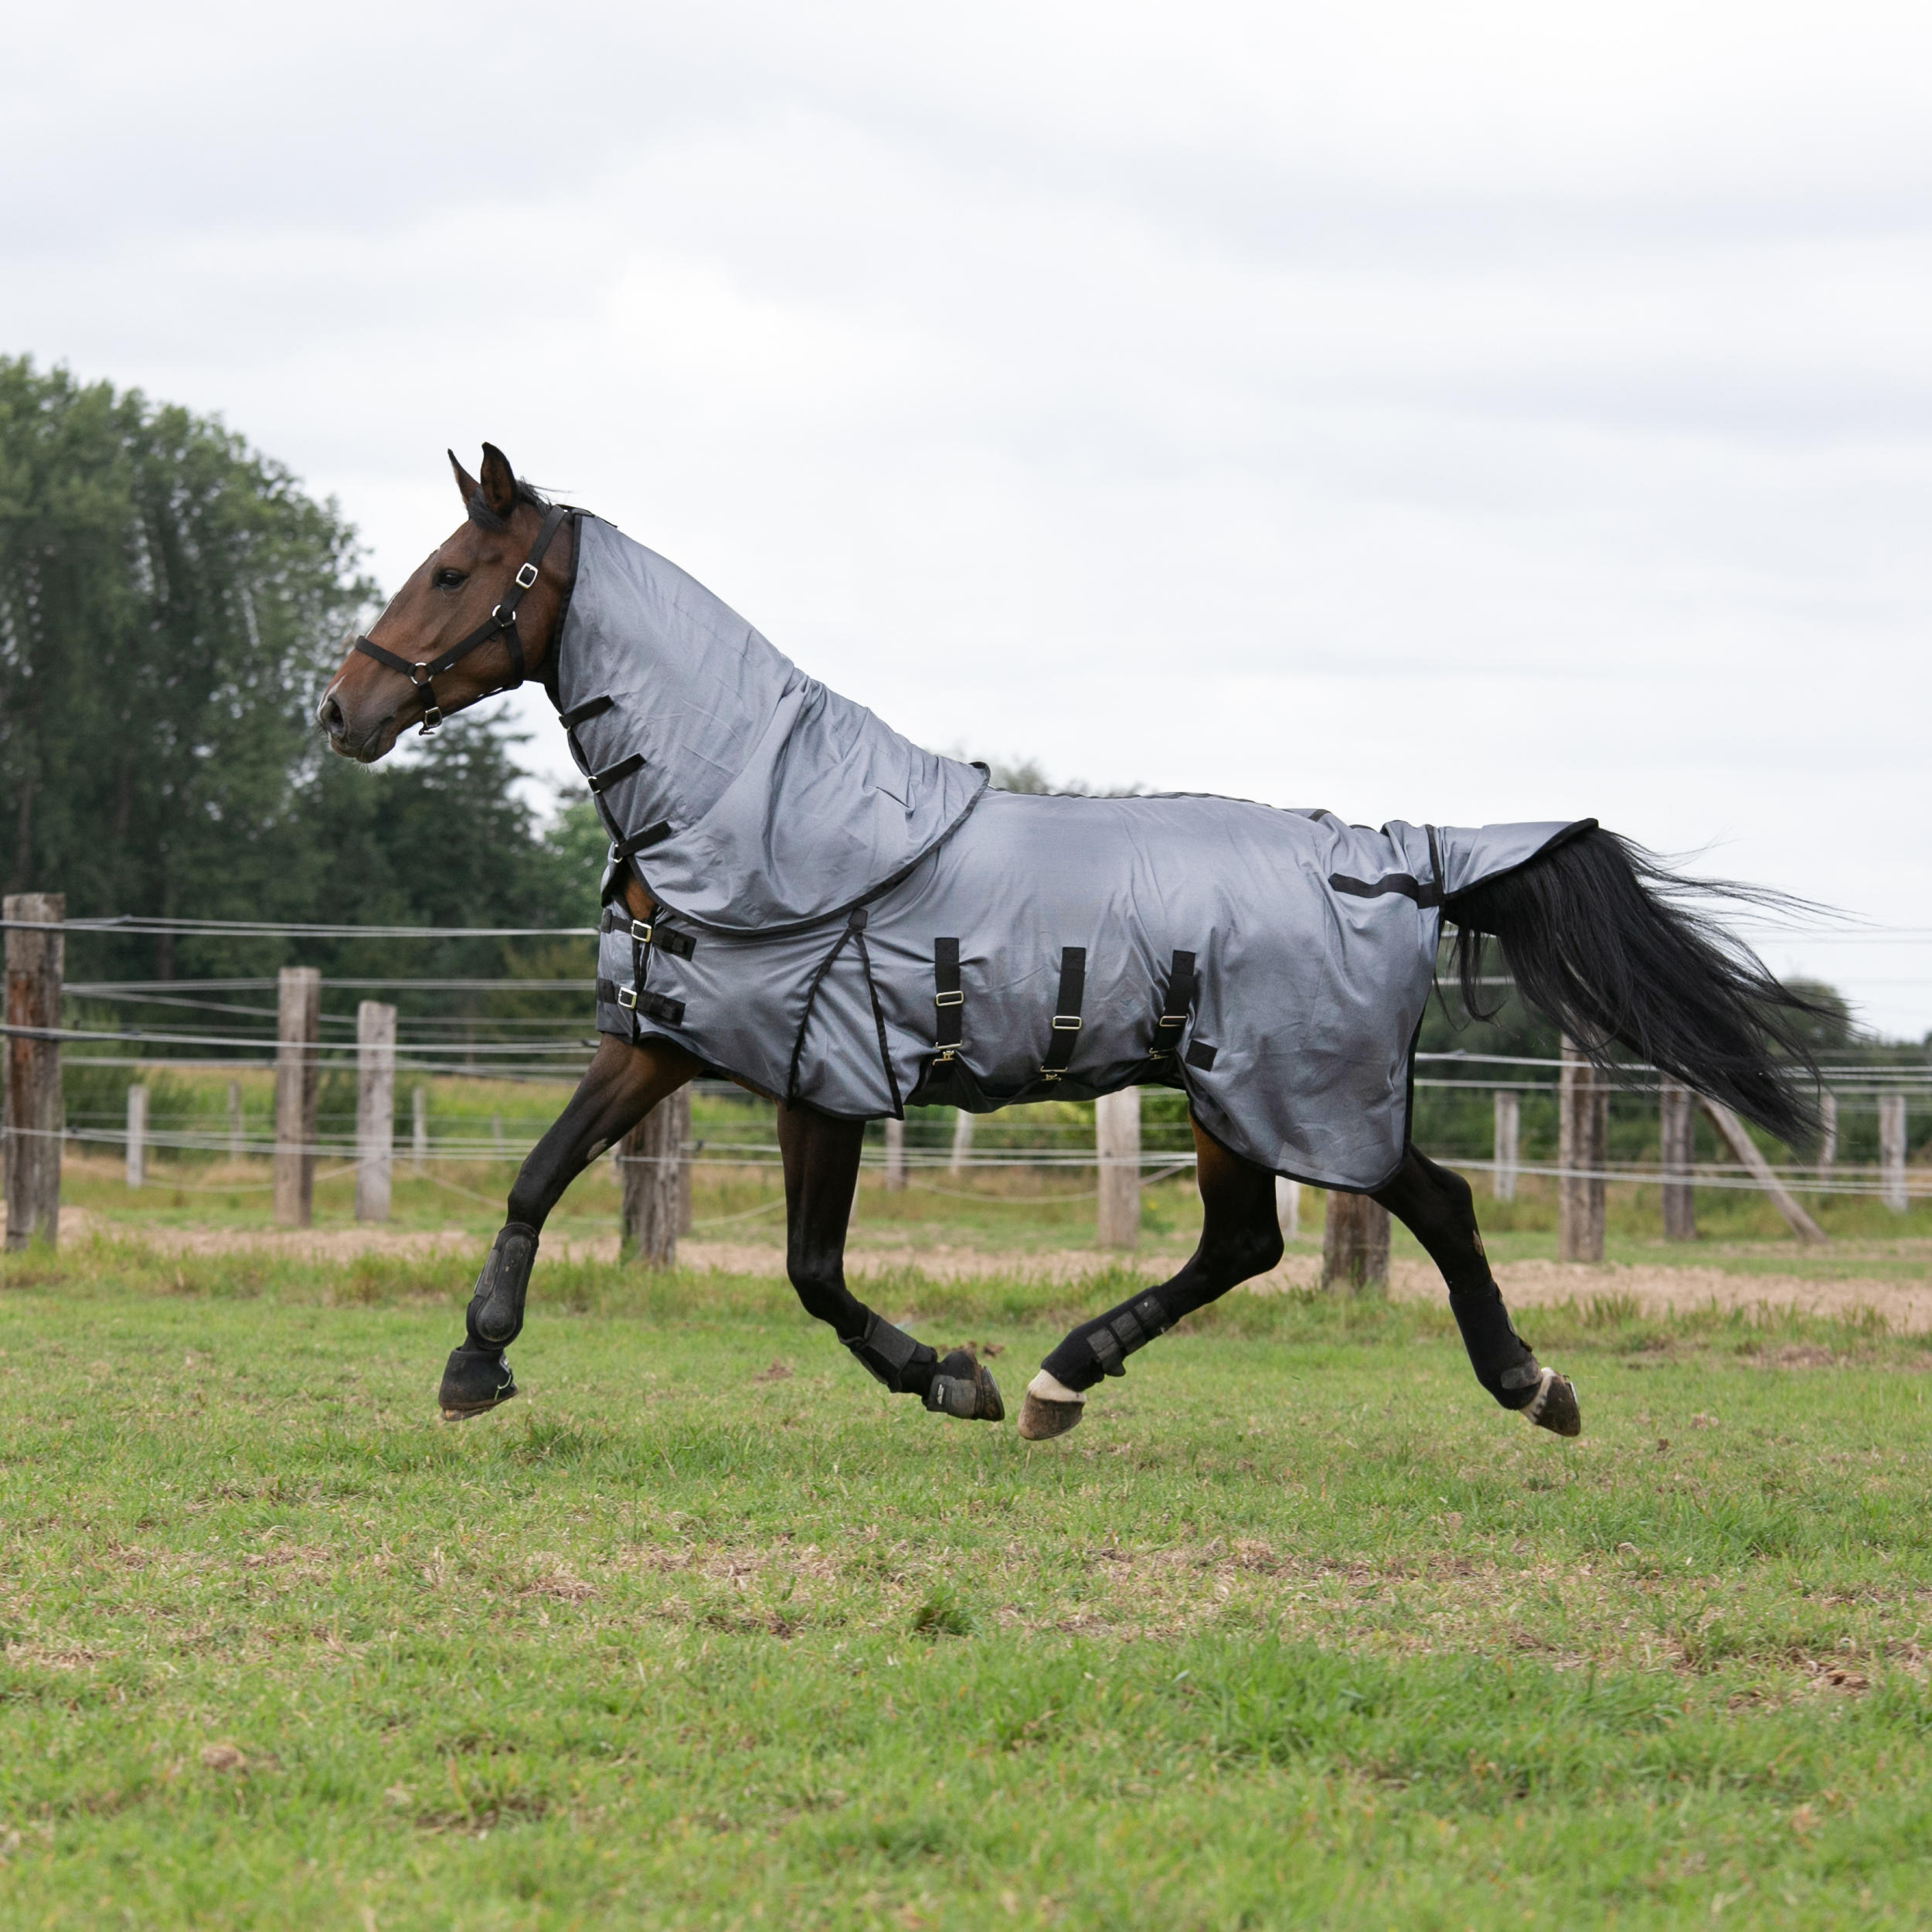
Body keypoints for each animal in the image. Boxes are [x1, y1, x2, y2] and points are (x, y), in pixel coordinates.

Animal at [321, 452, 1824, 1445]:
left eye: (453, 572)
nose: (341, 711)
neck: (757, 810)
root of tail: (1401, 851)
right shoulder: (666, 1042)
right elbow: (537, 1176)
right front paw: (475, 1365)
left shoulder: (824, 1077)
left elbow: (813, 1272)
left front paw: (949, 1376)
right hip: (1228, 1099)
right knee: (1244, 1245)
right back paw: (1067, 1378)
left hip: (1293, 1093)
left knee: (1426, 1207)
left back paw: (1528, 1385)